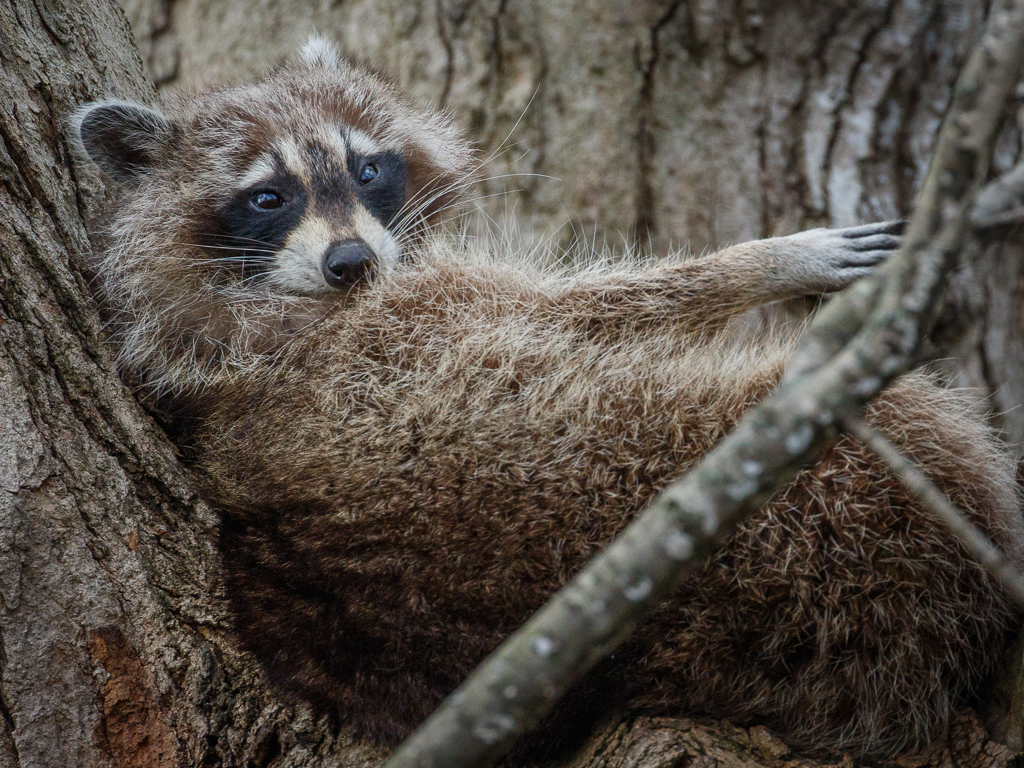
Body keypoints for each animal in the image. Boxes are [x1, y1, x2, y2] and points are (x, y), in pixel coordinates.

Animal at [73, 37, 1024, 759]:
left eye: (367, 169)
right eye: (269, 197)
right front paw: (761, 259)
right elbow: (596, 307)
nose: (353, 263)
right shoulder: (389, 329)